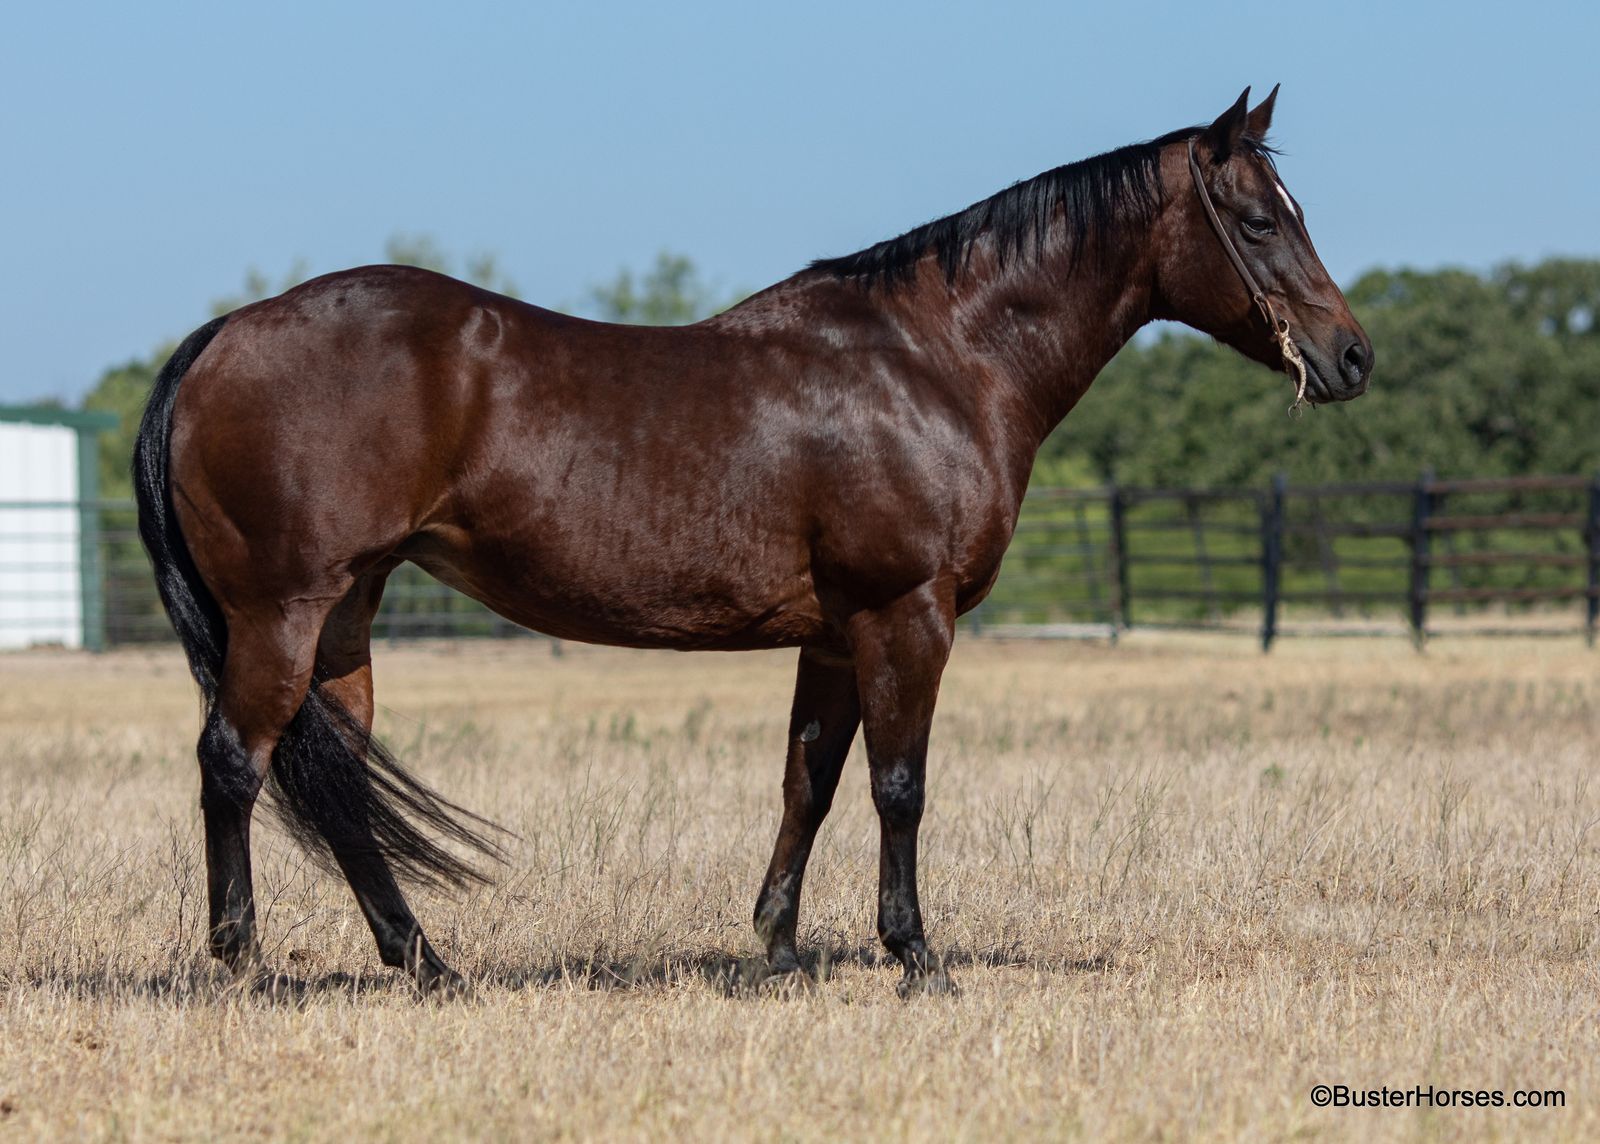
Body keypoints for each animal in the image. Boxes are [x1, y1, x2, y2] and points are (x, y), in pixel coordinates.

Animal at [134, 85, 1372, 997]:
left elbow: (807, 784)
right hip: (282, 612)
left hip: (344, 618)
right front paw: (914, 957)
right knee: (232, 761)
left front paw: (775, 947)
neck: (936, 359)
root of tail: (220, 337)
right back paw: (241, 963)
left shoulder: (832, 634)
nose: (1351, 357)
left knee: (333, 783)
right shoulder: (904, 614)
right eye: (1259, 219)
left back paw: (425, 961)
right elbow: (899, 785)